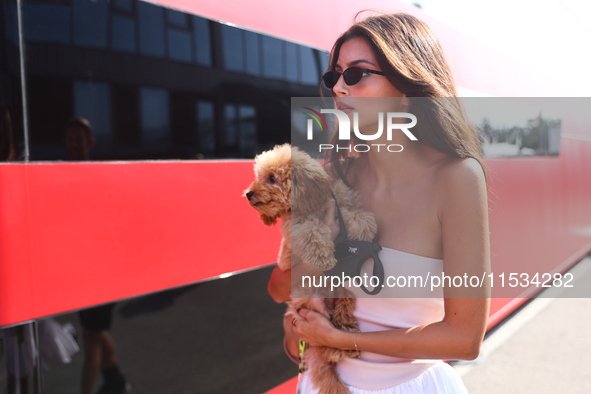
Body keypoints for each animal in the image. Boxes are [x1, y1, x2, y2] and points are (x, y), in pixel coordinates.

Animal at [244, 144, 374, 394]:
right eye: (259, 177)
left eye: (272, 178)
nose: (248, 193)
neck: (310, 205)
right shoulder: (296, 229)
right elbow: (312, 231)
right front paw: (323, 256)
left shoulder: (339, 202)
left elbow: (351, 213)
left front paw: (366, 228)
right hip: (311, 304)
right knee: (323, 345)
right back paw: (341, 349)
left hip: (344, 292)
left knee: (340, 319)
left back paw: (348, 332)